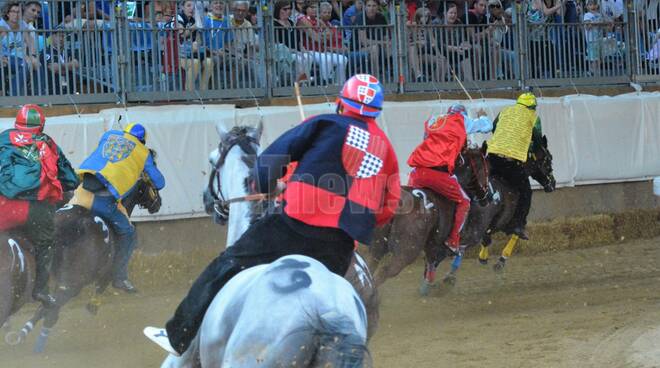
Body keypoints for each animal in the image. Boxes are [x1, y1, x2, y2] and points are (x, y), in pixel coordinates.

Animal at [7, 170, 164, 350]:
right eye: (151, 184)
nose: (158, 203)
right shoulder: (107, 272)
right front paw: (94, 305)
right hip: (73, 283)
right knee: (52, 312)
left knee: (44, 304)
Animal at [366, 144, 490, 294]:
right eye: (486, 169)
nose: (486, 196)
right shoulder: (452, 242)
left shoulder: (432, 244)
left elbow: (431, 263)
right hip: (405, 253)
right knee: (383, 271)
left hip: (377, 247)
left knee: (369, 266)